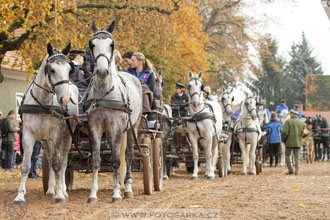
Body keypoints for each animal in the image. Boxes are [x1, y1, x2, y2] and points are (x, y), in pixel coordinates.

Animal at [14, 43, 79, 205]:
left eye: (69, 69)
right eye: (52, 69)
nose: (65, 99)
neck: (43, 104)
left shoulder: (56, 135)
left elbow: (57, 164)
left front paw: (60, 195)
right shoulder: (28, 135)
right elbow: (26, 166)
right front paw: (20, 196)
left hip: (67, 137)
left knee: (63, 162)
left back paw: (63, 190)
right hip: (45, 141)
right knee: (49, 160)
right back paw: (50, 190)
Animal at [84, 20, 142, 203]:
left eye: (112, 44)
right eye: (92, 44)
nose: (102, 71)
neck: (105, 92)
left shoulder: (117, 127)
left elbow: (116, 161)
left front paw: (116, 194)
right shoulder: (94, 126)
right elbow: (97, 160)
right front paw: (92, 194)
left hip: (132, 127)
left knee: (128, 155)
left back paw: (128, 188)